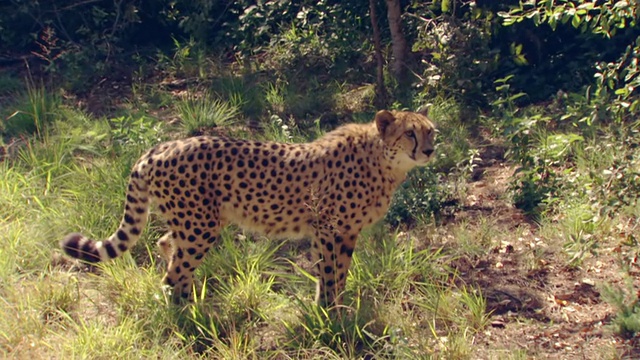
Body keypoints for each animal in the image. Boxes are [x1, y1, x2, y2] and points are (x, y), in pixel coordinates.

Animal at [61, 109, 436, 306]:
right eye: (409, 133)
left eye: (431, 132)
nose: (430, 150)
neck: (382, 161)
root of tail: (160, 147)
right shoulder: (331, 228)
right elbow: (332, 273)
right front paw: (332, 312)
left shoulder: (334, 231)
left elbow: (334, 272)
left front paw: (333, 308)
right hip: (200, 226)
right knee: (173, 273)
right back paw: (187, 312)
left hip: (197, 221)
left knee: (167, 245)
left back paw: (191, 298)